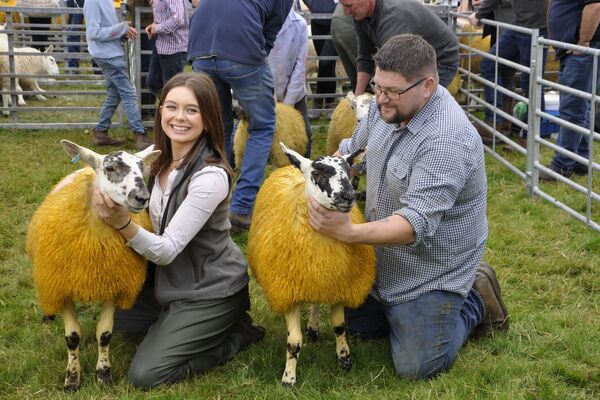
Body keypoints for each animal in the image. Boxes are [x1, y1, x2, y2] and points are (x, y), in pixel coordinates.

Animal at [27, 140, 161, 390]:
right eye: (110, 168)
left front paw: (103, 375)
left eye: (142, 169)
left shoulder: (114, 285)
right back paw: (48, 315)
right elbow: (72, 338)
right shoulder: (62, 286)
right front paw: (72, 379)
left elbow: (105, 334)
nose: (142, 198)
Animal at [248, 142, 376, 386]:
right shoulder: (288, 290)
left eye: (349, 170)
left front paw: (344, 360)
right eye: (316, 173)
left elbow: (339, 327)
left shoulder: (339, 285)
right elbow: (294, 342)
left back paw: (314, 328)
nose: (348, 196)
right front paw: (288, 379)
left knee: (317, 300)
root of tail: (291, 166)